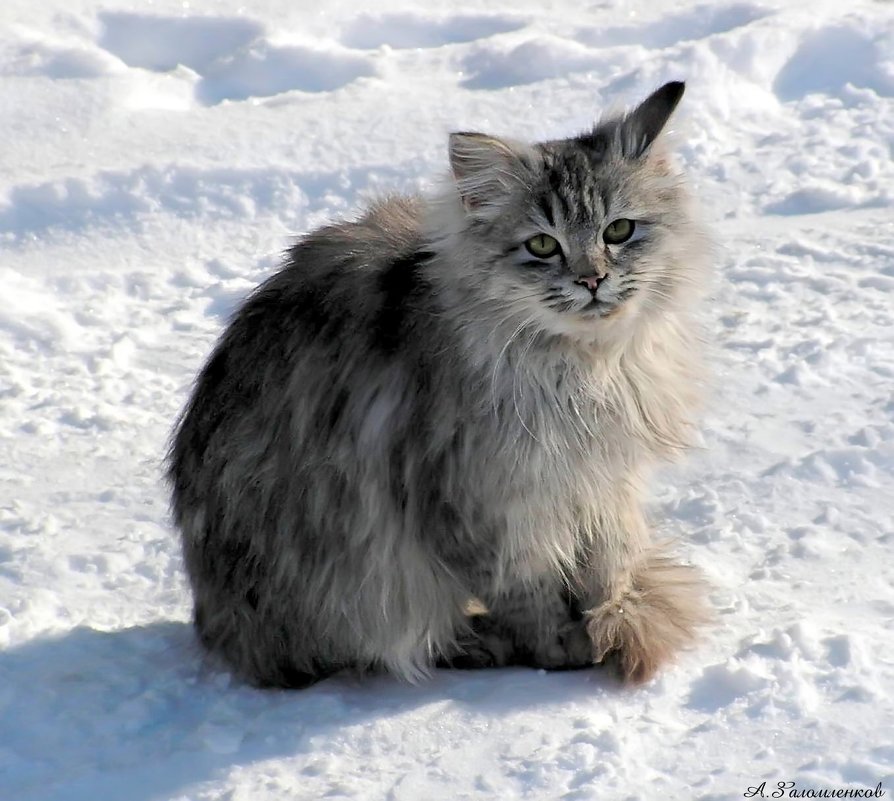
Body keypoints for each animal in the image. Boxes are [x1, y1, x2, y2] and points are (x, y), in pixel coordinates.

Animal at [168, 79, 712, 688]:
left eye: (619, 230)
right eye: (542, 245)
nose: (592, 279)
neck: (582, 370)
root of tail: (215, 622)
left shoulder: (603, 483)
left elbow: (607, 568)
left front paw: (608, 618)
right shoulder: (477, 496)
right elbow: (528, 593)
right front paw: (562, 649)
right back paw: (479, 644)